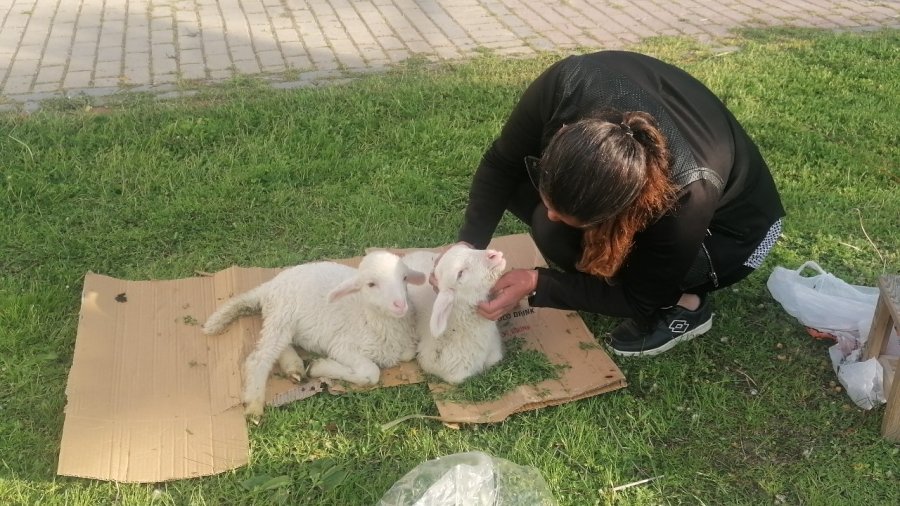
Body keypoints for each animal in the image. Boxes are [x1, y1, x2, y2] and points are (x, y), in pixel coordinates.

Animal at [203, 250, 426, 420]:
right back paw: (255, 404)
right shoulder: (342, 347)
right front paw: (320, 367)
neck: (369, 317)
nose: (400, 305)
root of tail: (268, 287)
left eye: (404, 278)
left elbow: (407, 355)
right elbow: (371, 373)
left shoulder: (406, 345)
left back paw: (293, 366)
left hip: (280, 320)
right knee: (258, 359)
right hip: (282, 315)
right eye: (371, 284)